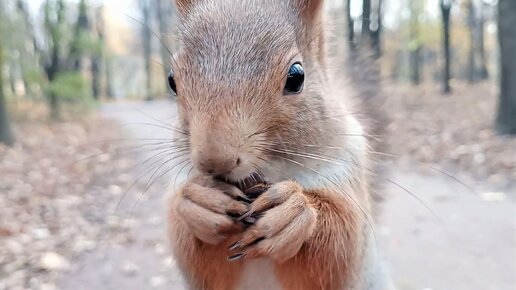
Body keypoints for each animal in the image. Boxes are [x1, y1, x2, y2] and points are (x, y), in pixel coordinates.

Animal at [165, 0, 396, 290]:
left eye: (296, 77)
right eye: (171, 80)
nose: (214, 161)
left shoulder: (348, 164)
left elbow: (342, 246)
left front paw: (295, 211)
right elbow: (193, 254)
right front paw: (199, 201)